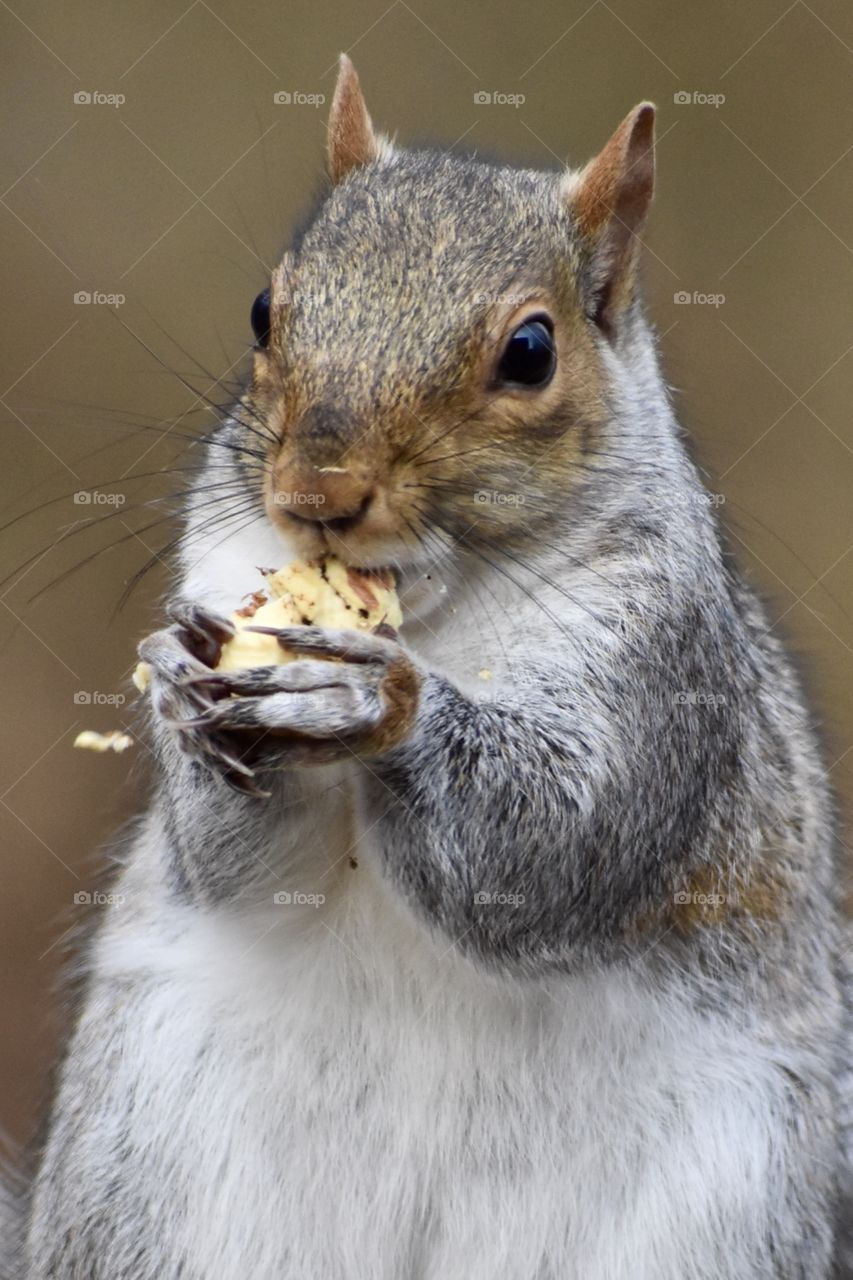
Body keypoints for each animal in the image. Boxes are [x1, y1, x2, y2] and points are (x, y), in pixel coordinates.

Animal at [8, 52, 850, 1280]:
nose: (315, 493)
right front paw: (179, 681)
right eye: (264, 310)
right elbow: (238, 864)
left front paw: (372, 701)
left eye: (530, 352)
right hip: (145, 1192)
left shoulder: (663, 669)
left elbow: (554, 842)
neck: (434, 612)